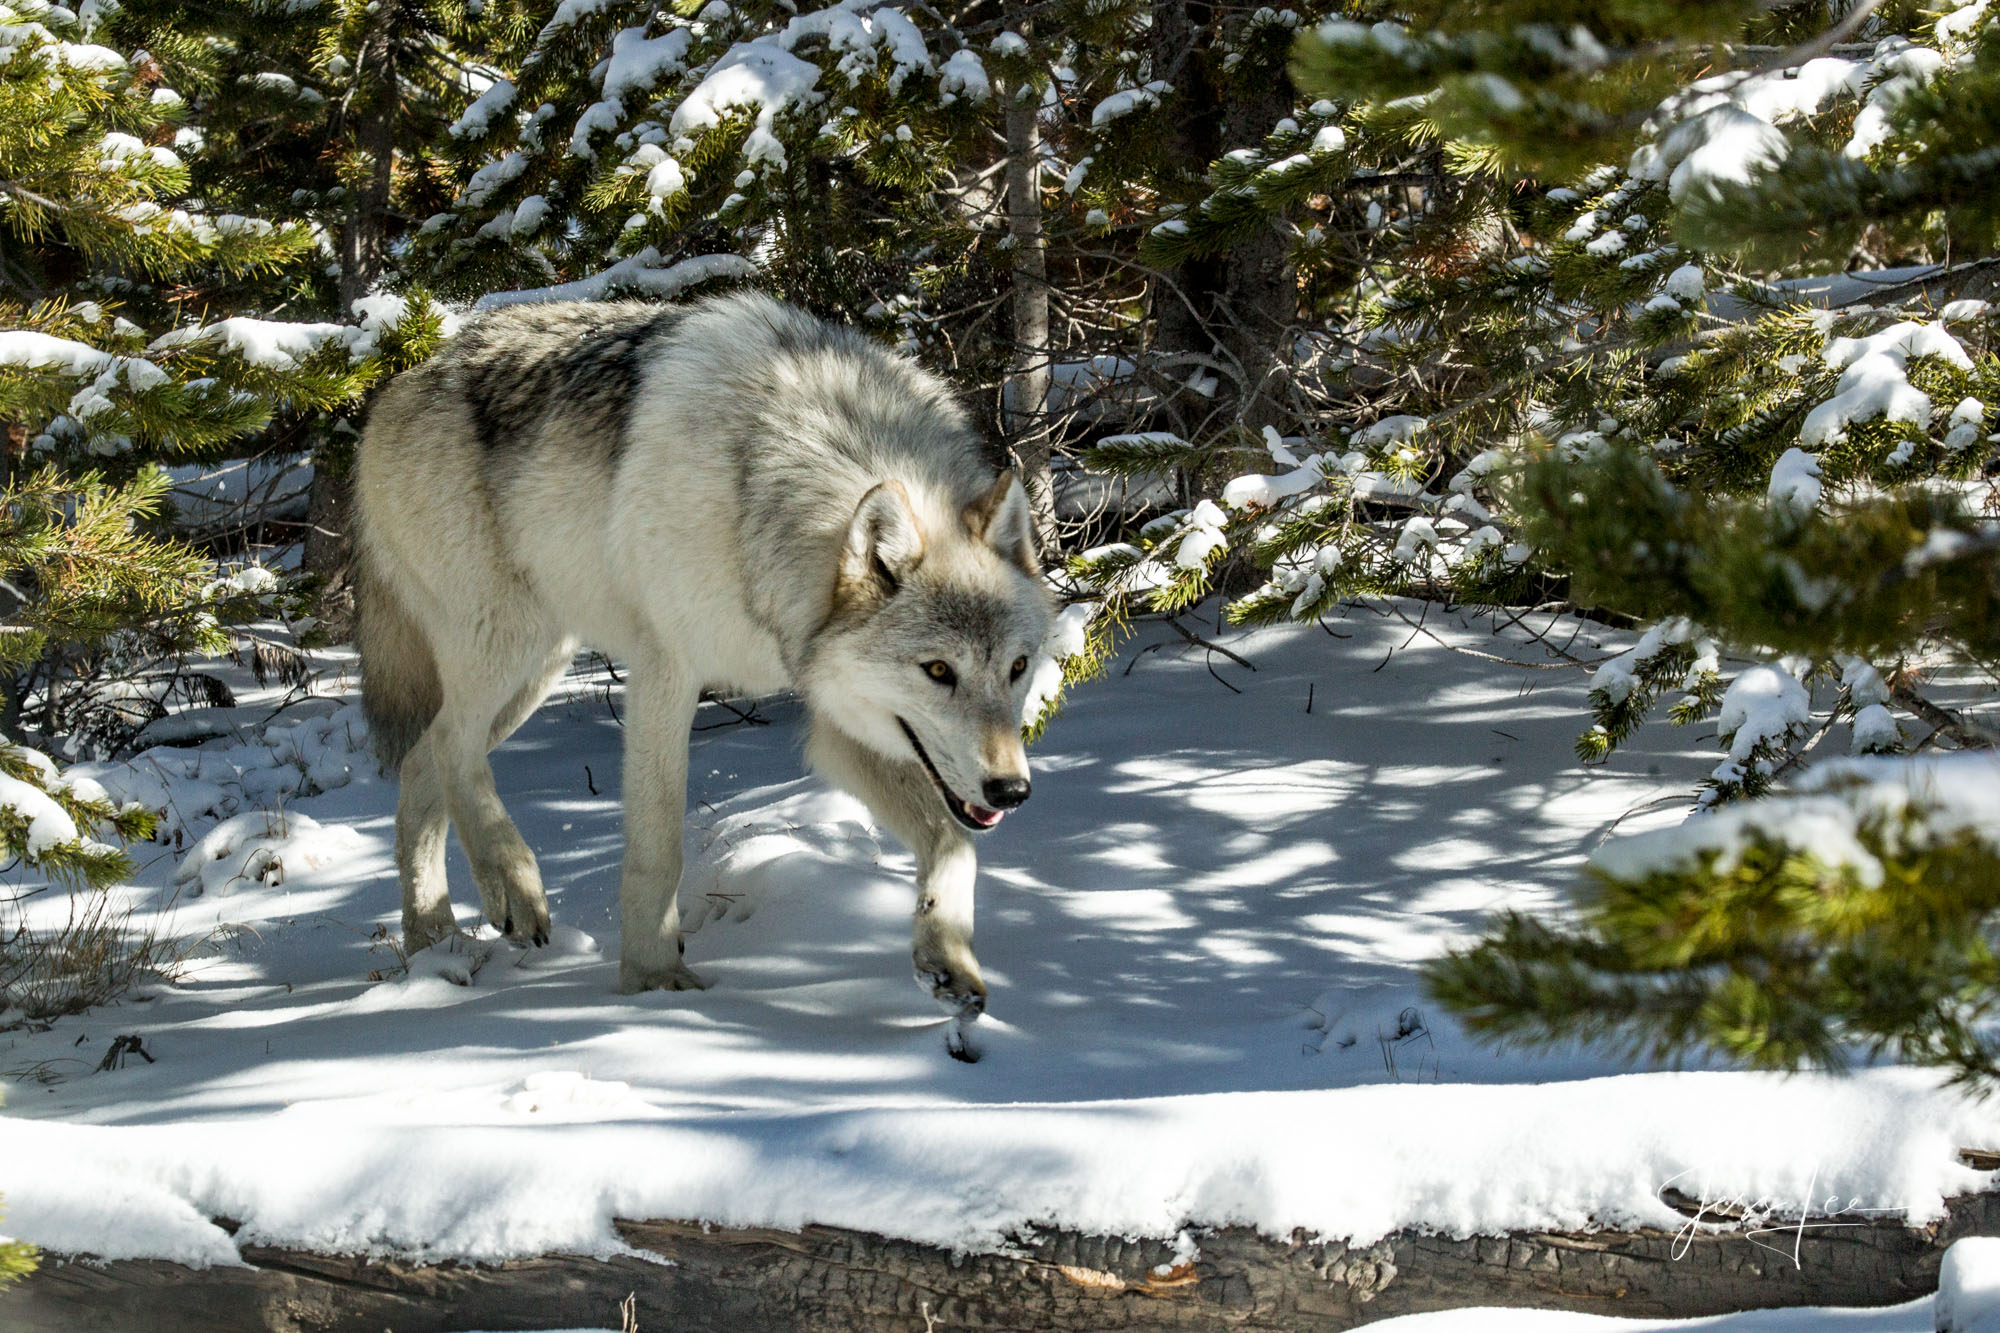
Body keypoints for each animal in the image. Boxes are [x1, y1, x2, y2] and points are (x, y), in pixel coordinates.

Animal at [352, 286, 1056, 1008]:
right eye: (938, 669)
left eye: (1017, 667)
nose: (1012, 790)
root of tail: (407, 374)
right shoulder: (666, 669)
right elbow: (659, 846)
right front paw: (655, 980)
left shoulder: (835, 718)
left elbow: (954, 843)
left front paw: (949, 960)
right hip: (508, 646)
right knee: (450, 745)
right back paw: (510, 886)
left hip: (536, 669)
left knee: (421, 764)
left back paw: (434, 941)